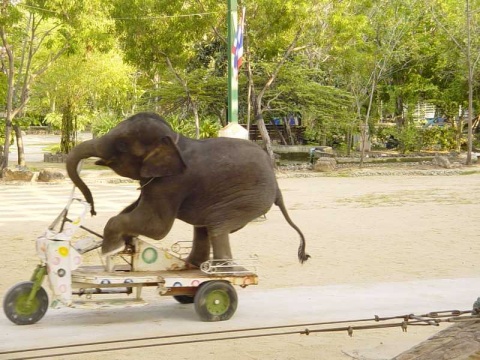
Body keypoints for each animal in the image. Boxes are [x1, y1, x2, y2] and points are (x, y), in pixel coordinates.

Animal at [65, 112, 310, 268]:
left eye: (122, 145)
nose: (92, 209)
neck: (174, 139)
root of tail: (277, 187)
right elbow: (133, 210)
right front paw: (124, 242)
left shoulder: (172, 183)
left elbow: (157, 227)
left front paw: (109, 250)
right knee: (204, 228)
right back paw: (192, 265)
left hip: (247, 200)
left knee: (217, 226)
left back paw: (221, 270)